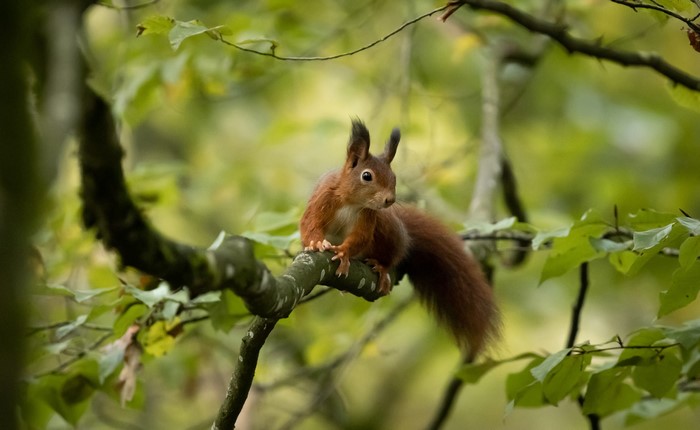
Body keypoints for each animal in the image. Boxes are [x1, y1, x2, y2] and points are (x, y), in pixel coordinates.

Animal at [300, 119, 500, 358]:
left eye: (394, 177)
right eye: (366, 176)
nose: (390, 200)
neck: (352, 202)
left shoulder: (369, 217)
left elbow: (360, 238)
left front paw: (344, 252)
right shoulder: (322, 199)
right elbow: (309, 224)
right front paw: (316, 242)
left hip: (388, 230)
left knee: (393, 253)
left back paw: (382, 267)